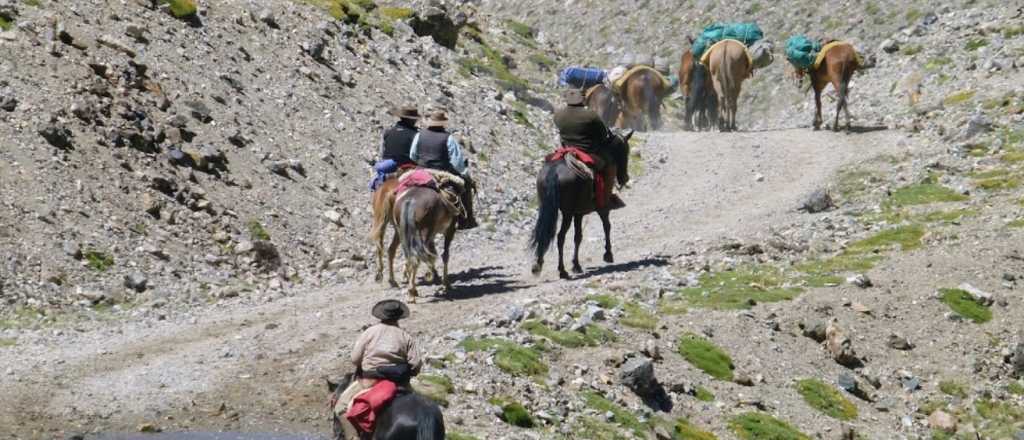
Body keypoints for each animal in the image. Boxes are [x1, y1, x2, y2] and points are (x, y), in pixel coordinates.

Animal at [532, 128, 626, 278]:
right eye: (625, 151)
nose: (624, 178)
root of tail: (554, 172)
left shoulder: (579, 213)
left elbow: (578, 237)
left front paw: (576, 265)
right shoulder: (602, 207)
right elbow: (606, 226)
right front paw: (608, 254)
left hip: (547, 208)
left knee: (544, 233)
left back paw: (538, 265)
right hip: (567, 213)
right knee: (560, 236)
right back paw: (562, 270)